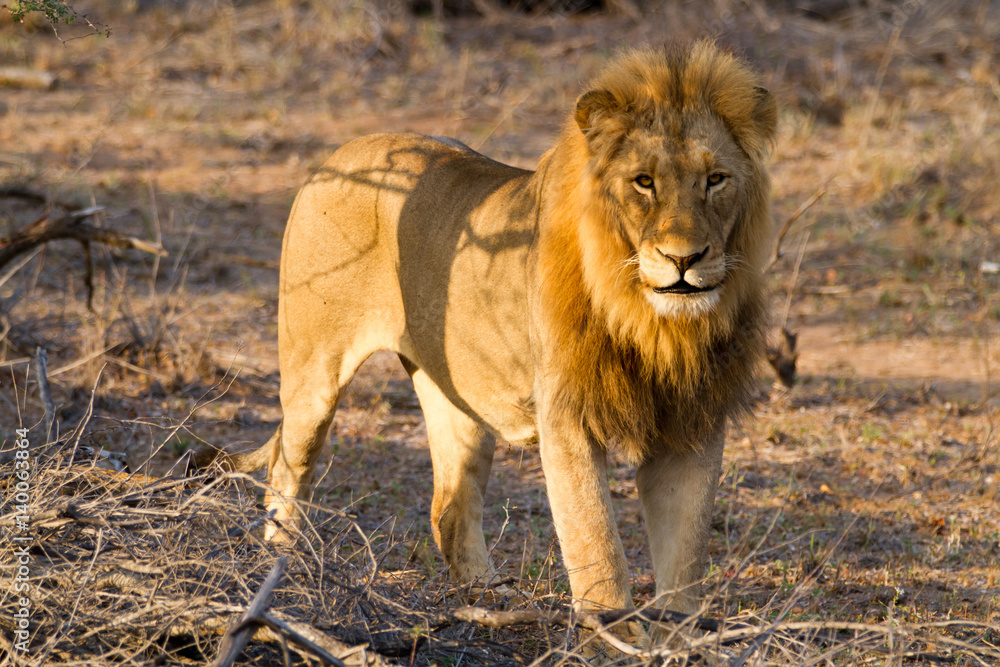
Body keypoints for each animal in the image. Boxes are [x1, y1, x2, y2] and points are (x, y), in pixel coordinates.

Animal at [225, 41, 776, 621]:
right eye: (643, 182)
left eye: (715, 180)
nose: (684, 259)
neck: (652, 323)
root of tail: (337, 154)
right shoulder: (567, 418)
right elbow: (597, 547)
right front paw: (610, 628)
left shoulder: (694, 422)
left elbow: (684, 562)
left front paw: (674, 632)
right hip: (313, 378)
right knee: (285, 475)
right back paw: (282, 575)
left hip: (454, 392)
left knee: (449, 506)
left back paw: (486, 600)